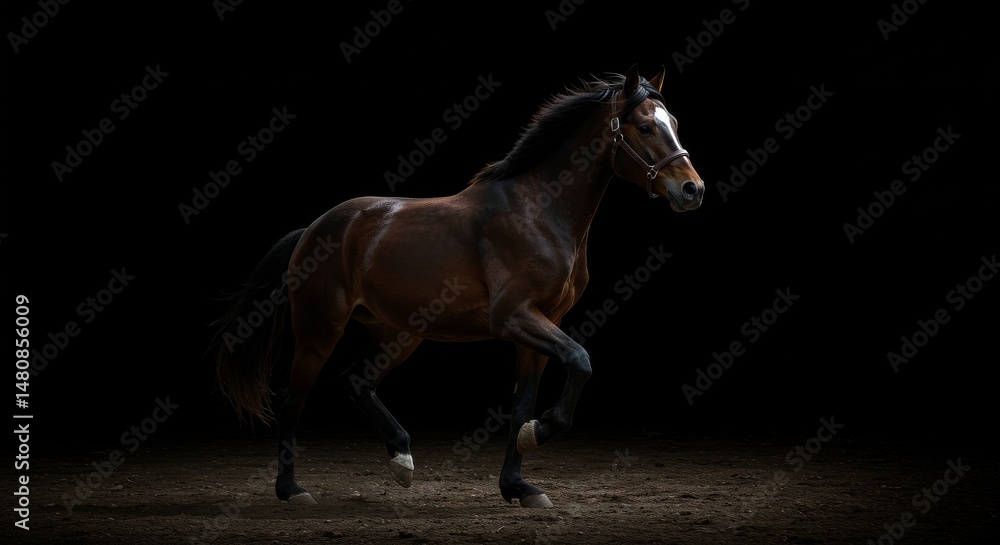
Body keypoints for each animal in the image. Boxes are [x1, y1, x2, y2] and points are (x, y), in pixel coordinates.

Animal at [214, 64, 705, 509]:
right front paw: (537, 437)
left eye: (676, 124)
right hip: (320, 328)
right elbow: (581, 362)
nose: (692, 189)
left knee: (357, 382)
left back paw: (401, 459)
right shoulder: (513, 317)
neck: (539, 212)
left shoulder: (543, 322)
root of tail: (314, 229)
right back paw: (292, 490)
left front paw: (519, 487)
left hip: (398, 333)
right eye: (645, 126)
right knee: (292, 399)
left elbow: (522, 406)